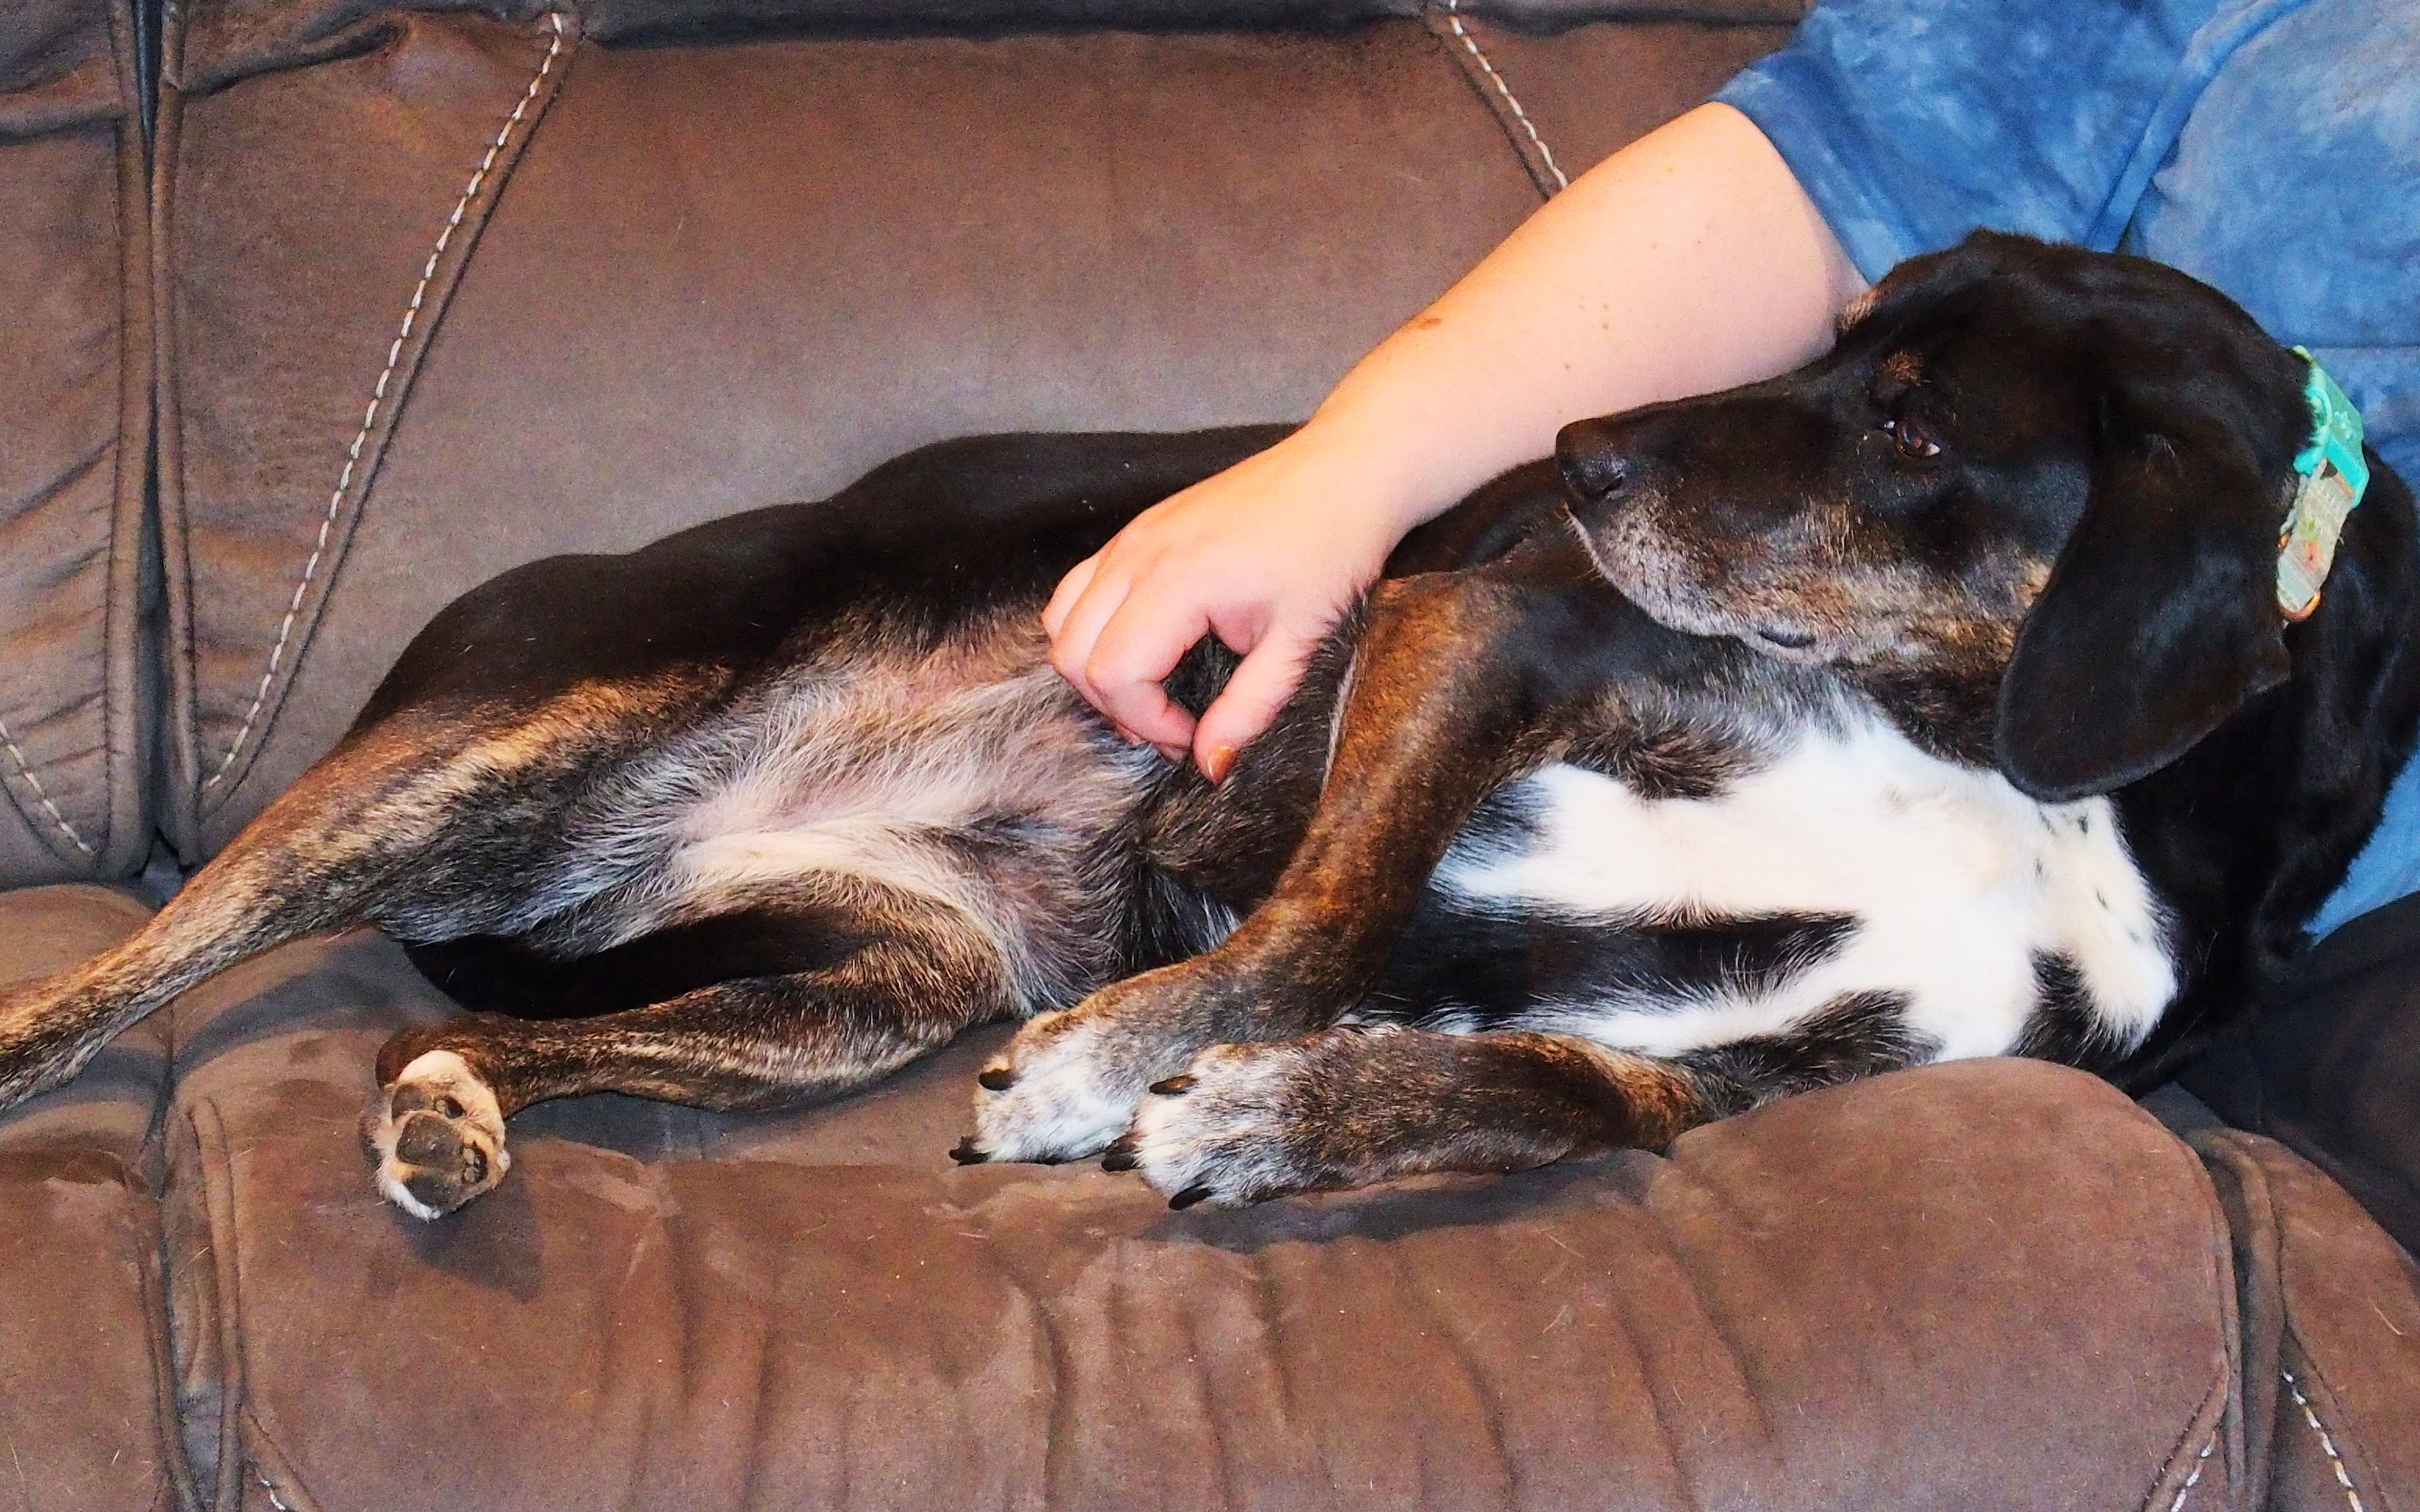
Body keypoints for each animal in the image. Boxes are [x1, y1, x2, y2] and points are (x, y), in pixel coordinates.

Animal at [0, 233, 2409, 1218]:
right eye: (1835, 341)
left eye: (1903, 420)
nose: (1577, 454)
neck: (1997, 758)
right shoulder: (1477, 619)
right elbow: (1321, 920)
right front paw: (1112, 1076)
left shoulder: (1784, 1060)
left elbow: (1541, 1087)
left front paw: (1264, 1124)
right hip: (493, 752)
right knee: (129, 968)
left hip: (865, 984)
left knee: (488, 1034)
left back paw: (454, 1111)